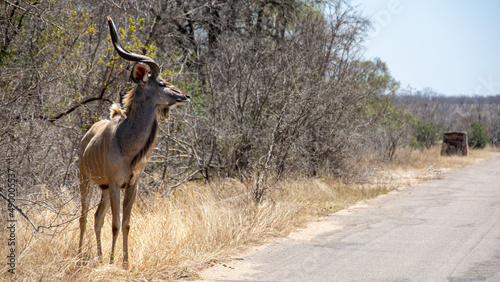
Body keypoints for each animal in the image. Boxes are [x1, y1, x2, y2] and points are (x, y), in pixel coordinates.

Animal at [79, 16, 190, 268]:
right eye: (161, 82)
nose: (185, 95)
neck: (126, 142)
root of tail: (85, 138)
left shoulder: (131, 185)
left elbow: (127, 224)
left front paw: (125, 263)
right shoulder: (115, 184)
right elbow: (116, 224)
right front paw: (114, 263)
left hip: (102, 188)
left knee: (97, 217)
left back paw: (99, 257)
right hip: (85, 181)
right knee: (84, 217)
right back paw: (80, 257)